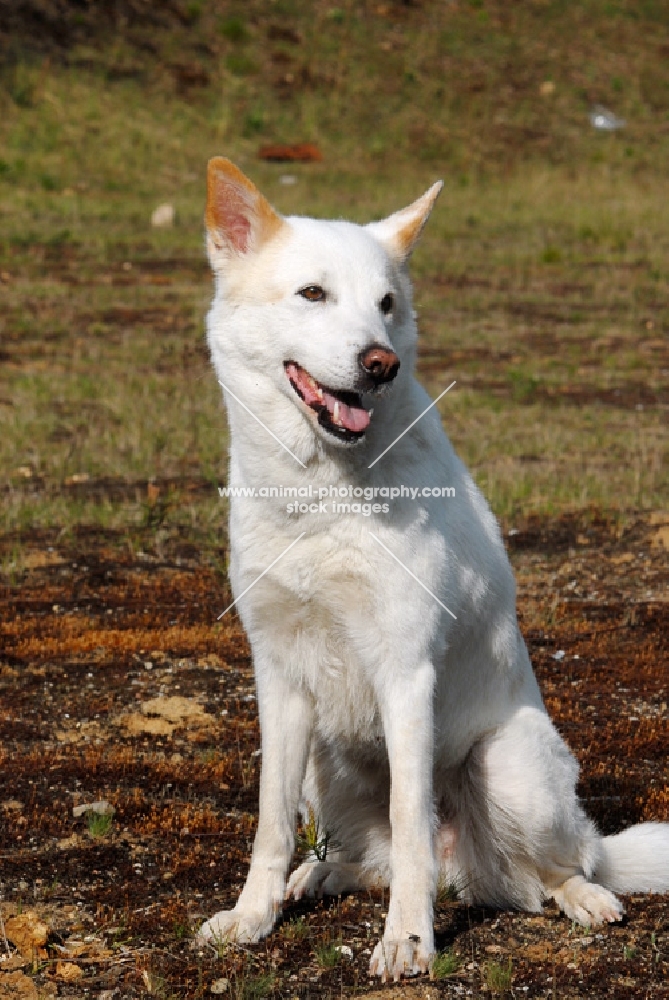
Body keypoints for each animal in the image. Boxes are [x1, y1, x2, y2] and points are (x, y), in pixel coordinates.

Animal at [194, 160, 668, 980]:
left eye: (386, 305)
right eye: (312, 294)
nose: (378, 364)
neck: (320, 499)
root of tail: (465, 867)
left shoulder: (406, 670)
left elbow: (411, 821)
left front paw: (407, 943)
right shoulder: (279, 678)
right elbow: (269, 823)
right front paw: (253, 916)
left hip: (508, 767)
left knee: (558, 868)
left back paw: (588, 899)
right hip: (326, 766)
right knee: (369, 861)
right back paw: (315, 877)